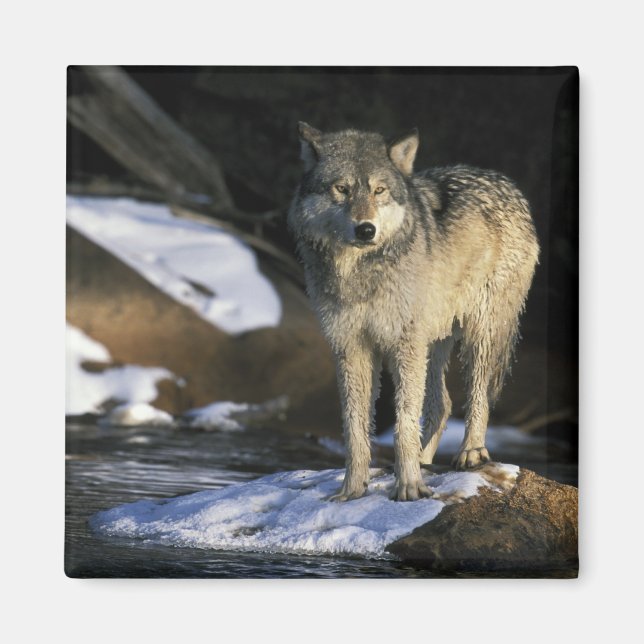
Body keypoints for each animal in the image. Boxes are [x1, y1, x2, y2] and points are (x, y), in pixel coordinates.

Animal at [288, 123, 539, 502]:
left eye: (378, 190)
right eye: (342, 189)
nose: (366, 229)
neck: (359, 273)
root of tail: (506, 183)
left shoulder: (403, 345)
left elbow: (404, 421)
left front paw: (408, 486)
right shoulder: (351, 348)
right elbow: (355, 429)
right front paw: (352, 489)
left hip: (478, 335)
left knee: (477, 397)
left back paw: (470, 452)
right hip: (432, 343)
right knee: (443, 404)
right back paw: (424, 460)